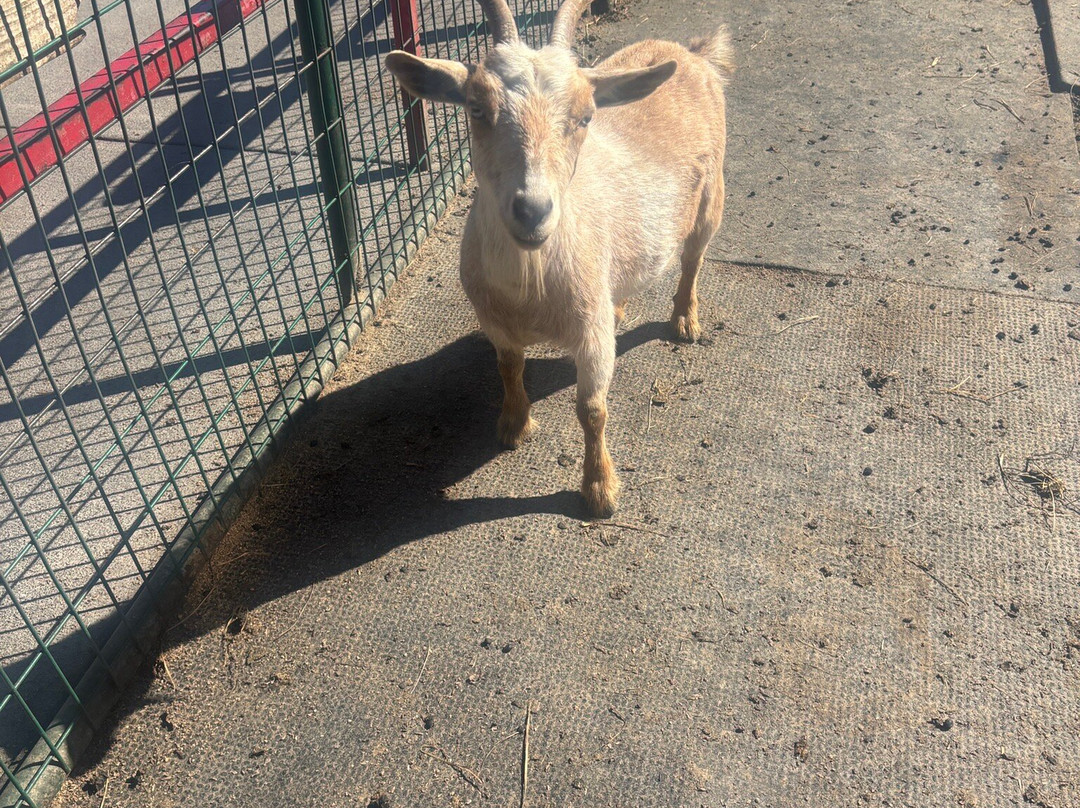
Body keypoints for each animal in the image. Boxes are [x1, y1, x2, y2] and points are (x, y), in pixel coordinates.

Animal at [385, 0, 732, 516]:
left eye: (586, 116)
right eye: (476, 108)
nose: (533, 210)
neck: (529, 288)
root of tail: (692, 54)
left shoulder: (591, 336)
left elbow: (592, 410)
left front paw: (600, 490)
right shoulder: (494, 321)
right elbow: (508, 367)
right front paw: (513, 426)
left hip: (712, 195)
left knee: (693, 258)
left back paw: (685, 320)